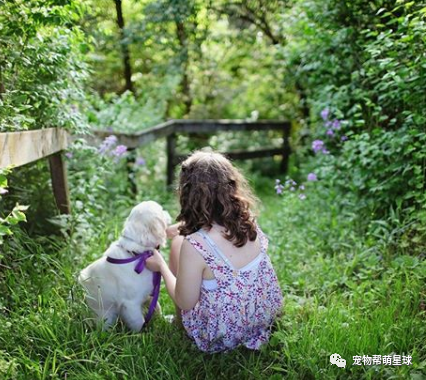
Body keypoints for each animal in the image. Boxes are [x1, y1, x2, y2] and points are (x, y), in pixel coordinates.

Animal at [78, 200, 171, 332]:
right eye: (161, 210)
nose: (167, 212)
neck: (137, 255)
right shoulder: (130, 304)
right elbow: (139, 322)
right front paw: (142, 334)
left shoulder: (150, 293)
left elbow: (157, 307)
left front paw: (164, 320)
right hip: (106, 316)